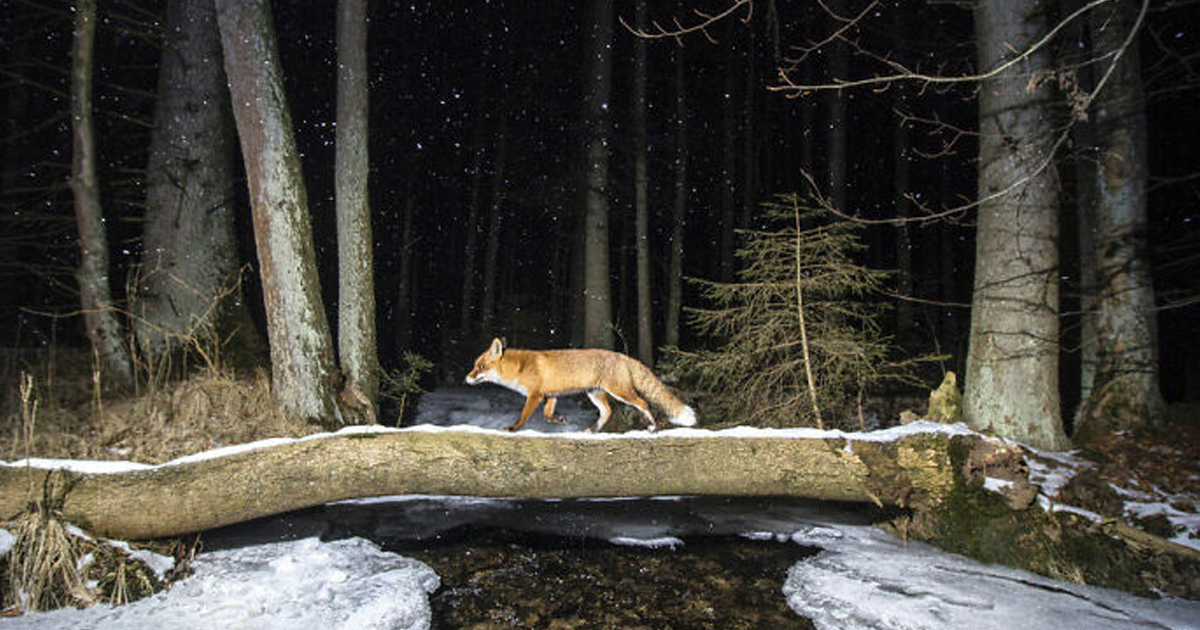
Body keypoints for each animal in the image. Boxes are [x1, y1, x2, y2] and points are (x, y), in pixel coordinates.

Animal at [463, 338, 700, 432]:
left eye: (480, 367)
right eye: (474, 366)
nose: (466, 378)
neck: (520, 368)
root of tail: (623, 356)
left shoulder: (535, 395)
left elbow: (524, 415)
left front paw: (513, 428)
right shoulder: (551, 395)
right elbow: (547, 416)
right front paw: (560, 420)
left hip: (621, 392)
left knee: (643, 403)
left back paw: (652, 426)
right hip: (595, 394)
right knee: (608, 411)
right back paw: (593, 430)